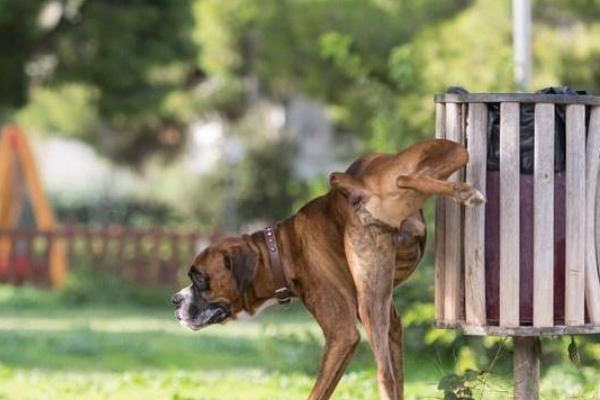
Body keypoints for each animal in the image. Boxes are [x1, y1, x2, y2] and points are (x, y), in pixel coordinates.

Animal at [172, 138, 482, 400]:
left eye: (199, 278)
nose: (175, 300)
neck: (280, 250)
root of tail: (359, 185)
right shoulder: (392, 326)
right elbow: (399, 380)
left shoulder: (341, 336)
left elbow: (317, 393)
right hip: (448, 152)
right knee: (410, 176)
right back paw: (462, 191)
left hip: (369, 307)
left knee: (384, 376)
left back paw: (467, 193)